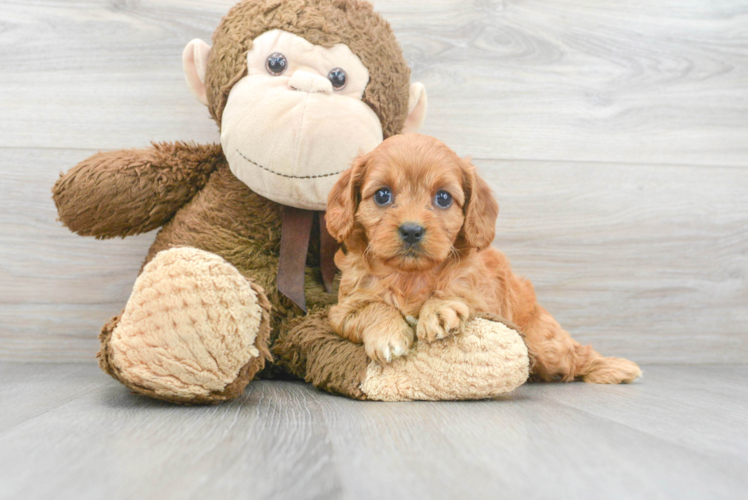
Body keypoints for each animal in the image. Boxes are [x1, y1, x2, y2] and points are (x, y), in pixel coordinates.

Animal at [328, 133, 644, 382]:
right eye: (382, 195)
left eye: (443, 198)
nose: (411, 230)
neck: (411, 276)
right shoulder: (343, 309)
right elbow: (371, 307)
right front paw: (387, 334)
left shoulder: (483, 299)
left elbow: (454, 291)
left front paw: (438, 310)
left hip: (545, 343)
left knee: (576, 355)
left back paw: (614, 368)